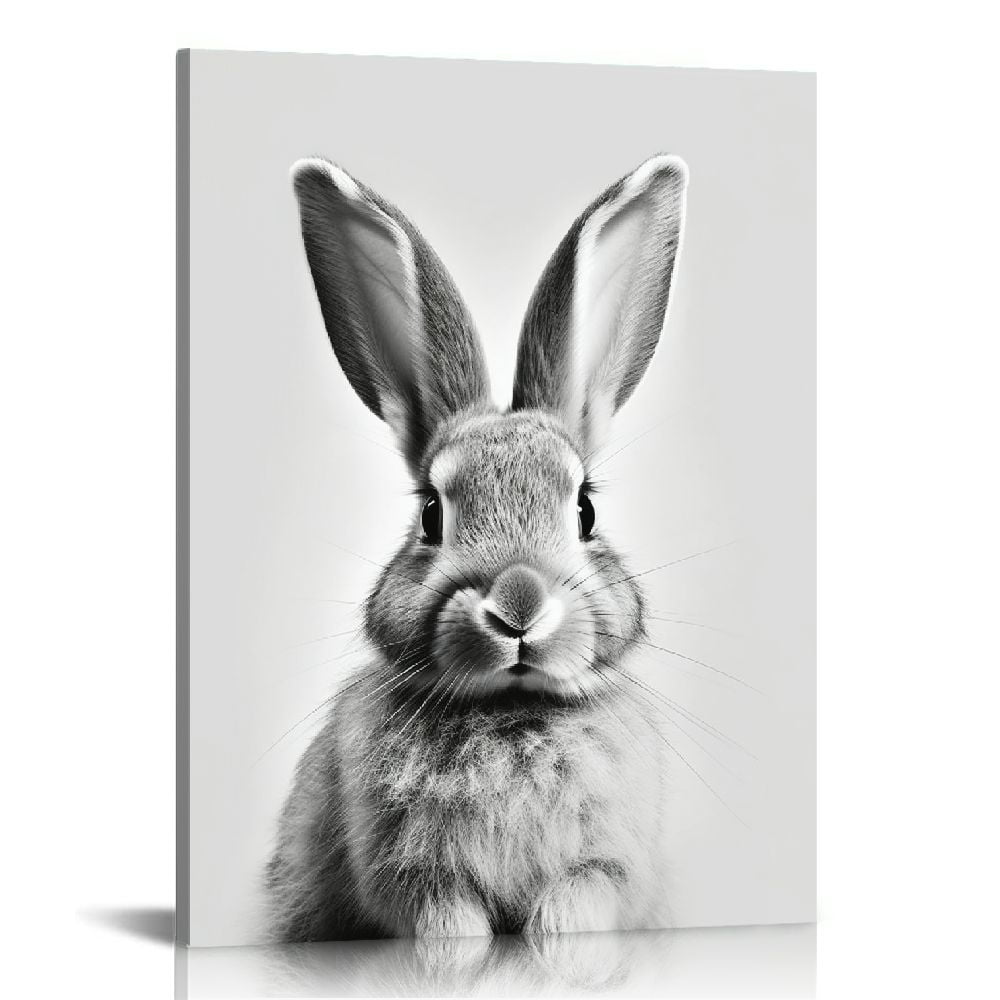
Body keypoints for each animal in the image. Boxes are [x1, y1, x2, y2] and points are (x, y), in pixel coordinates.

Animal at [266, 152, 689, 942]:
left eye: (585, 510)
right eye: (431, 515)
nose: (519, 603)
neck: (509, 712)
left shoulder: (605, 871)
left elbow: (574, 911)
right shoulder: (411, 881)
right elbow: (446, 928)